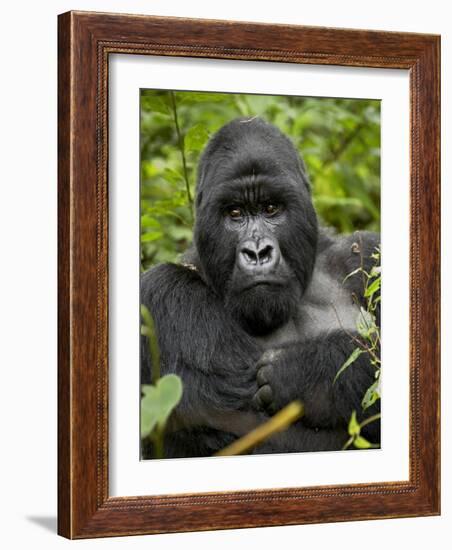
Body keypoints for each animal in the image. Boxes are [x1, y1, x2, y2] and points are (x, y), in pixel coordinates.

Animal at [141, 117, 382, 462]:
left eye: (270, 208)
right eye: (235, 213)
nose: (257, 252)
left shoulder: (366, 253)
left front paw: (310, 373)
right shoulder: (164, 295)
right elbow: (249, 432)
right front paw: (331, 373)